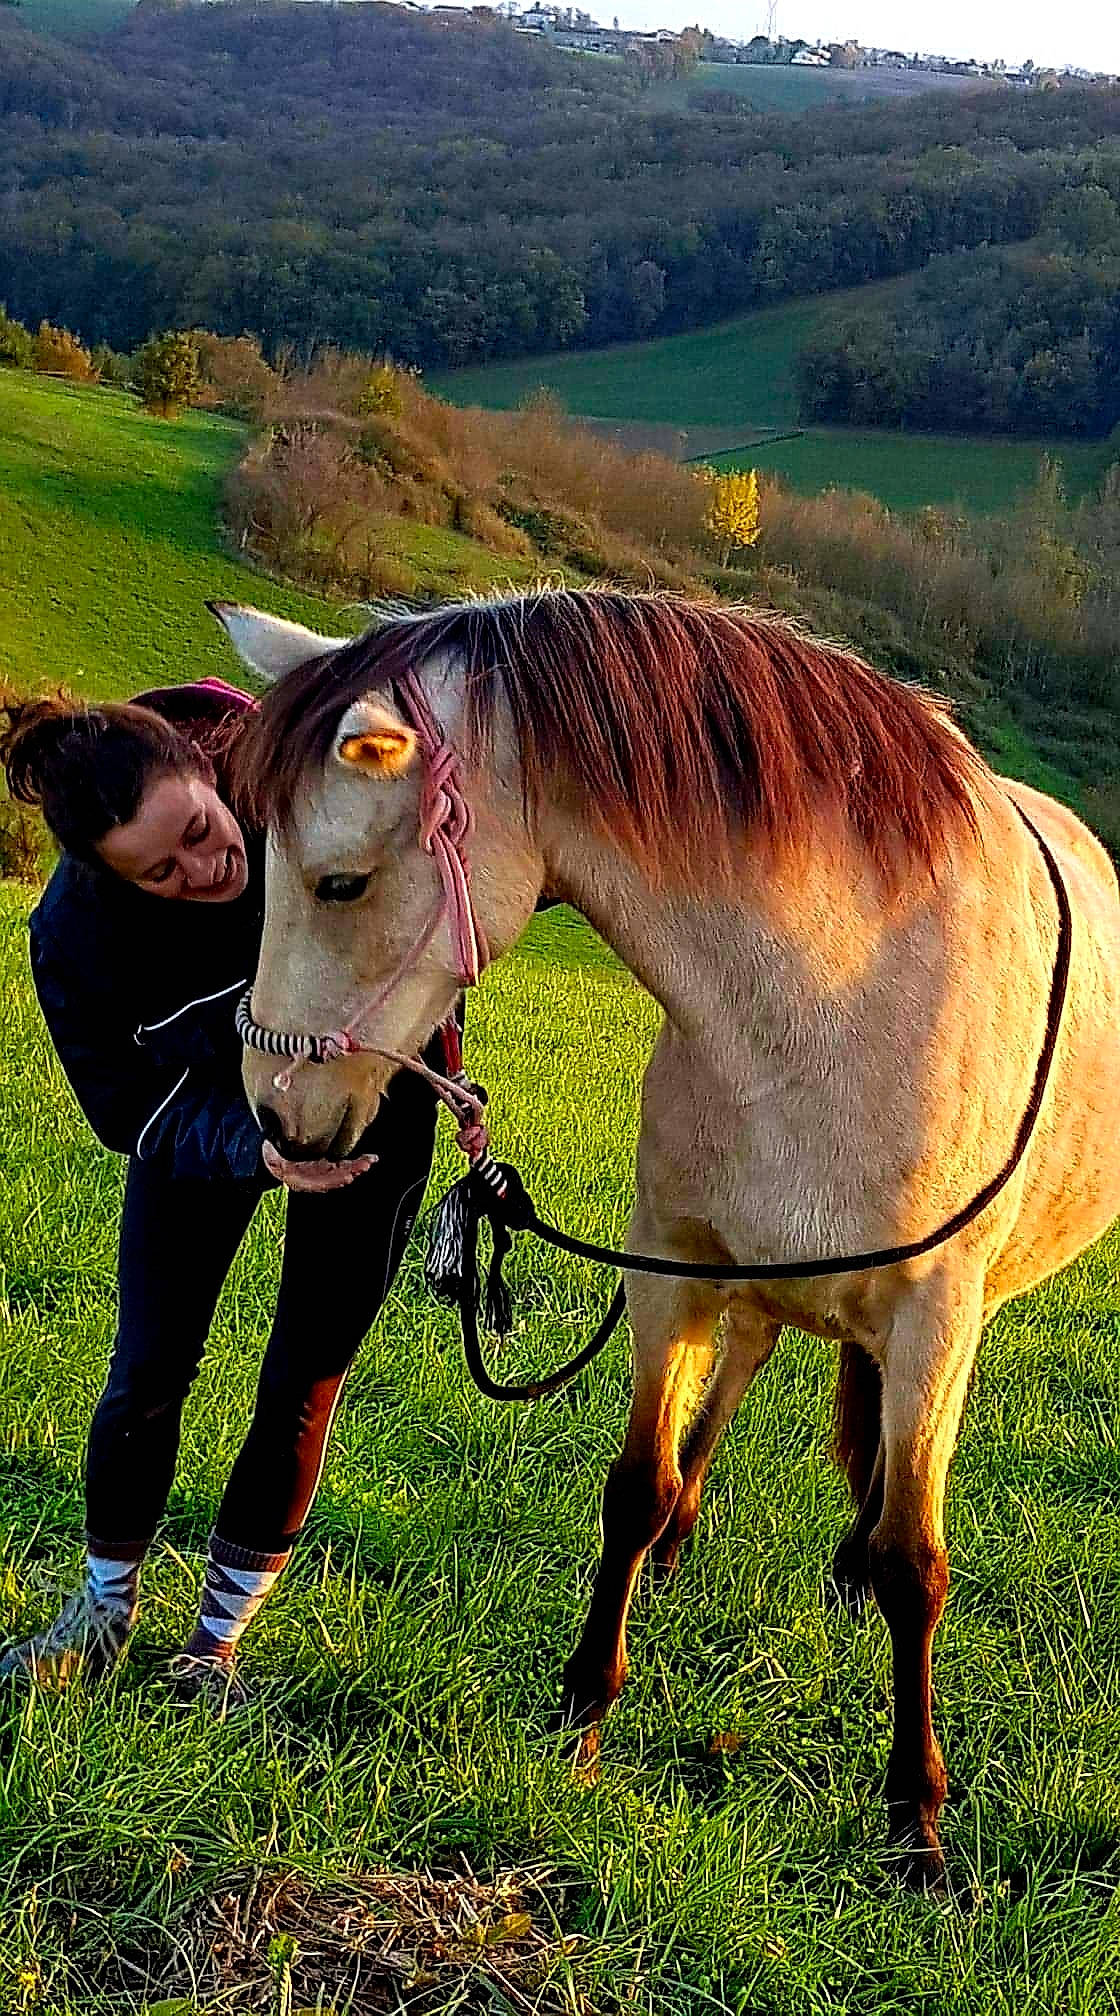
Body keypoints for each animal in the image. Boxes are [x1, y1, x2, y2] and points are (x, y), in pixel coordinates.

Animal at [213, 588, 1120, 1887]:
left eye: (337, 884)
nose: (280, 1118)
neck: (842, 995)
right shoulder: (673, 1272)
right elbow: (634, 1487)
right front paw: (585, 1709)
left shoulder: (934, 1319)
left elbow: (915, 1561)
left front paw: (915, 1820)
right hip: (748, 1288)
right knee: (745, 1369)